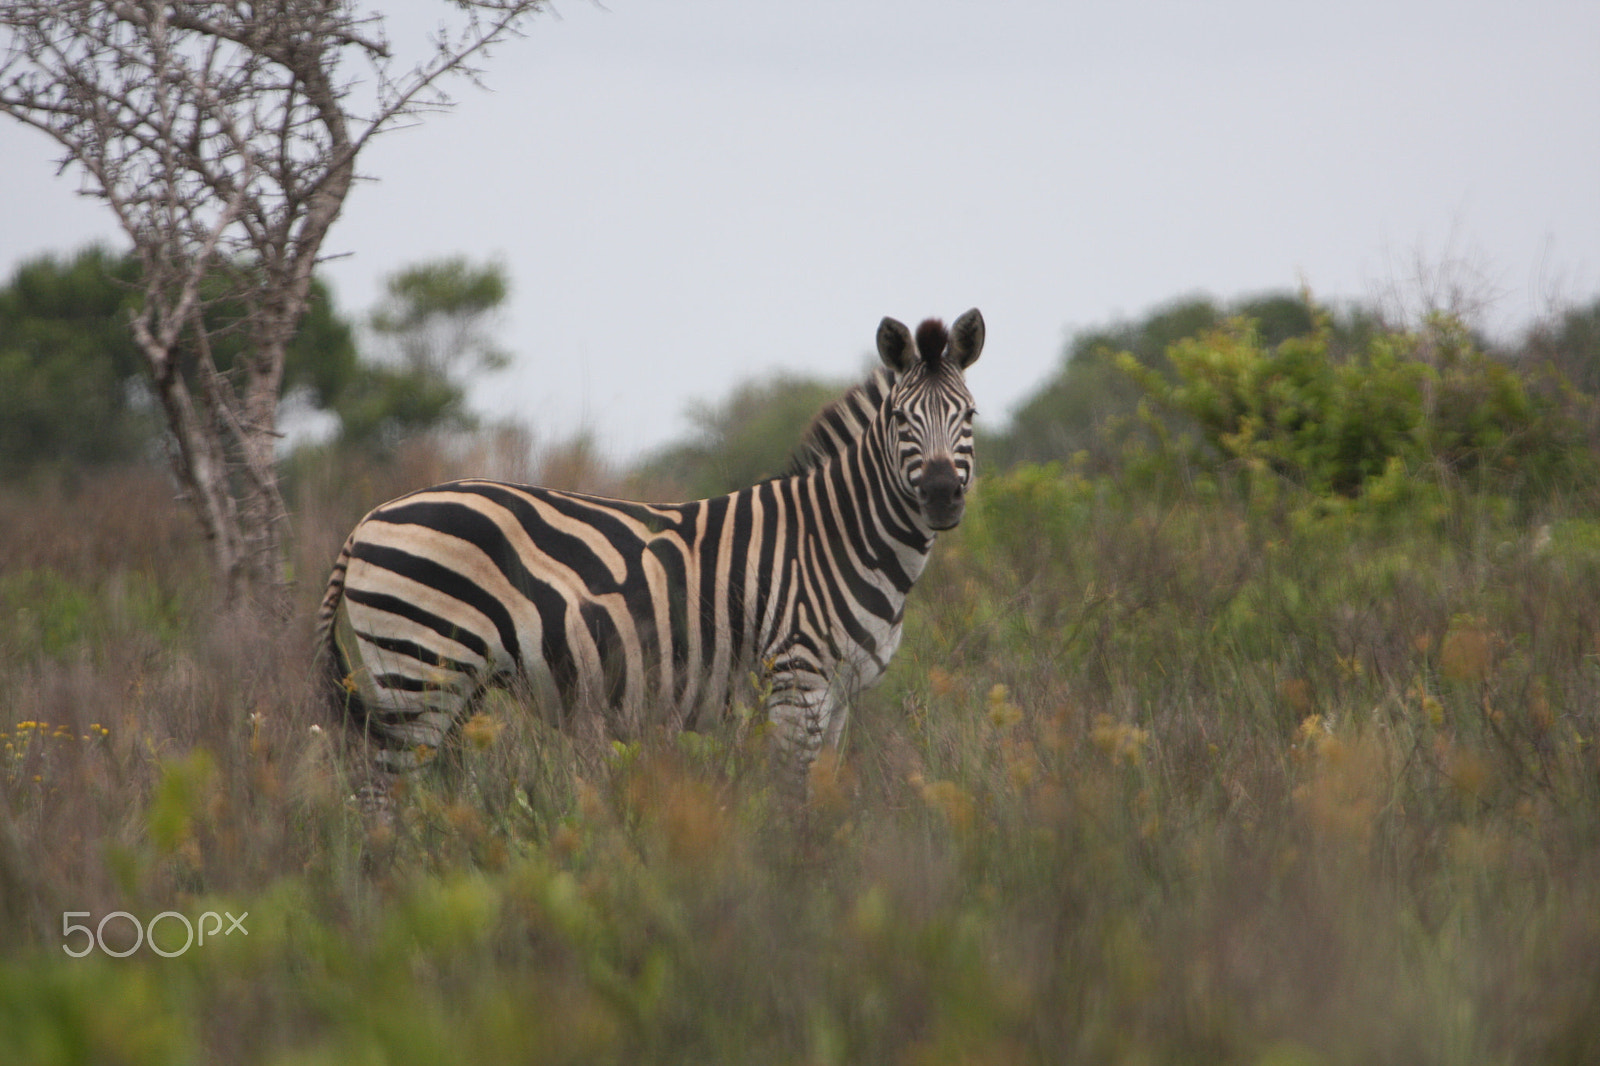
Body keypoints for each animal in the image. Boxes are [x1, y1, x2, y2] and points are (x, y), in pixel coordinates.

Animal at [317, 308, 985, 799]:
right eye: (900, 418)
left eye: (971, 415)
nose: (941, 494)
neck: (838, 537)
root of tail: (367, 518)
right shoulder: (797, 681)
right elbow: (791, 799)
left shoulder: (841, 694)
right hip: (416, 672)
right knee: (378, 799)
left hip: (449, 683)